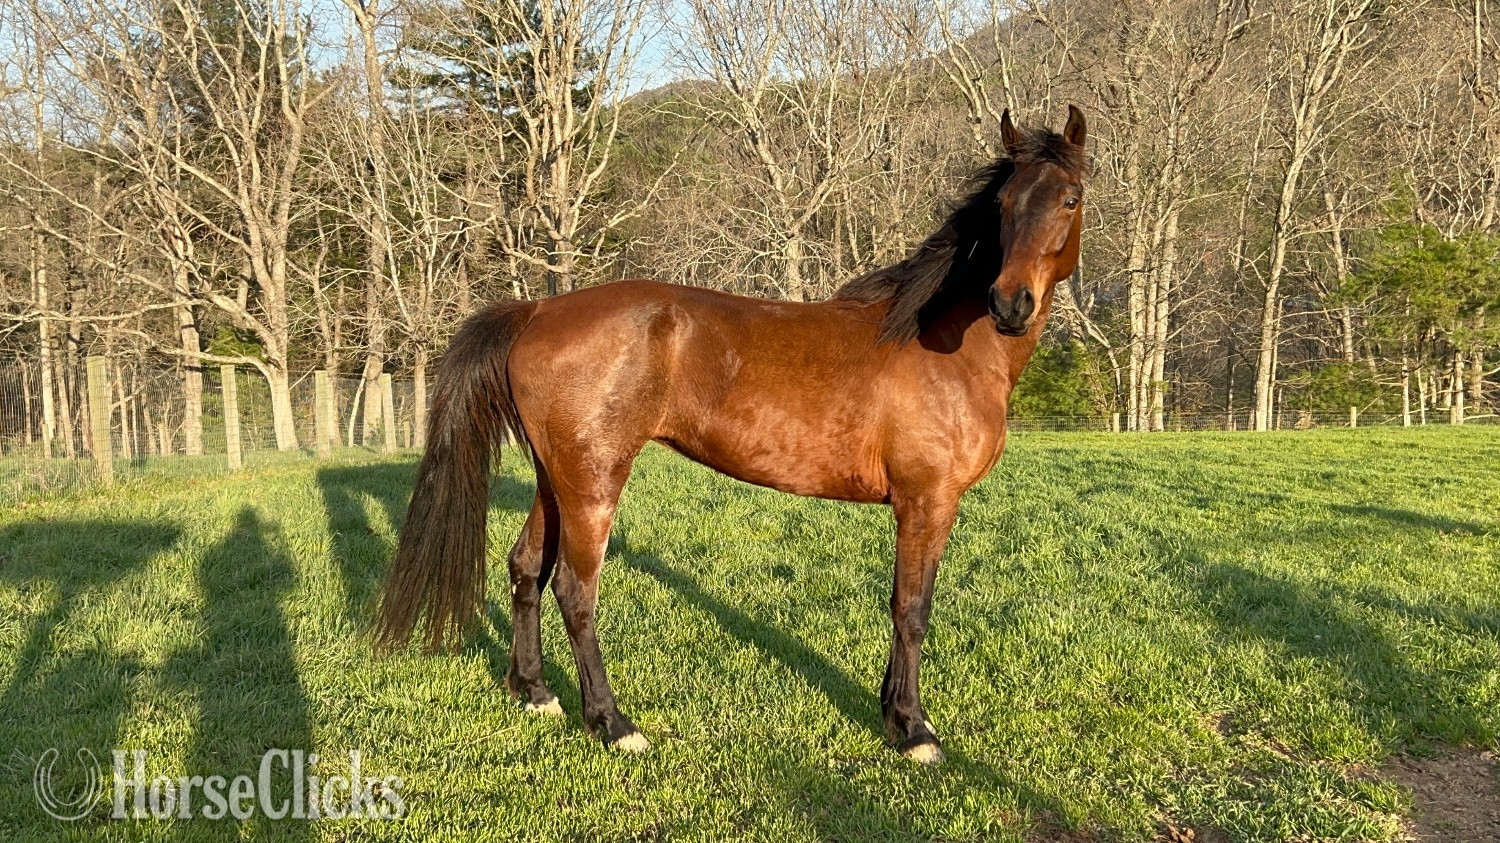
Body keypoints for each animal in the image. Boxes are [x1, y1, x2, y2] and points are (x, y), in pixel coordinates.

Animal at [375, 107, 1089, 764]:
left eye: (1069, 198)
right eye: (1003, 205)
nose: (1010, 304)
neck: (945, 344)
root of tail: (538, 309)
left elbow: (901, 608)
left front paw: (892, 713)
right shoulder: (927, 502)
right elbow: (911, 610)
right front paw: (913, 730)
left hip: (558, 478)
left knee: (526, 567)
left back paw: (535, 691)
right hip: (593, 482)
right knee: (575, 592)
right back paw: (612, 721)